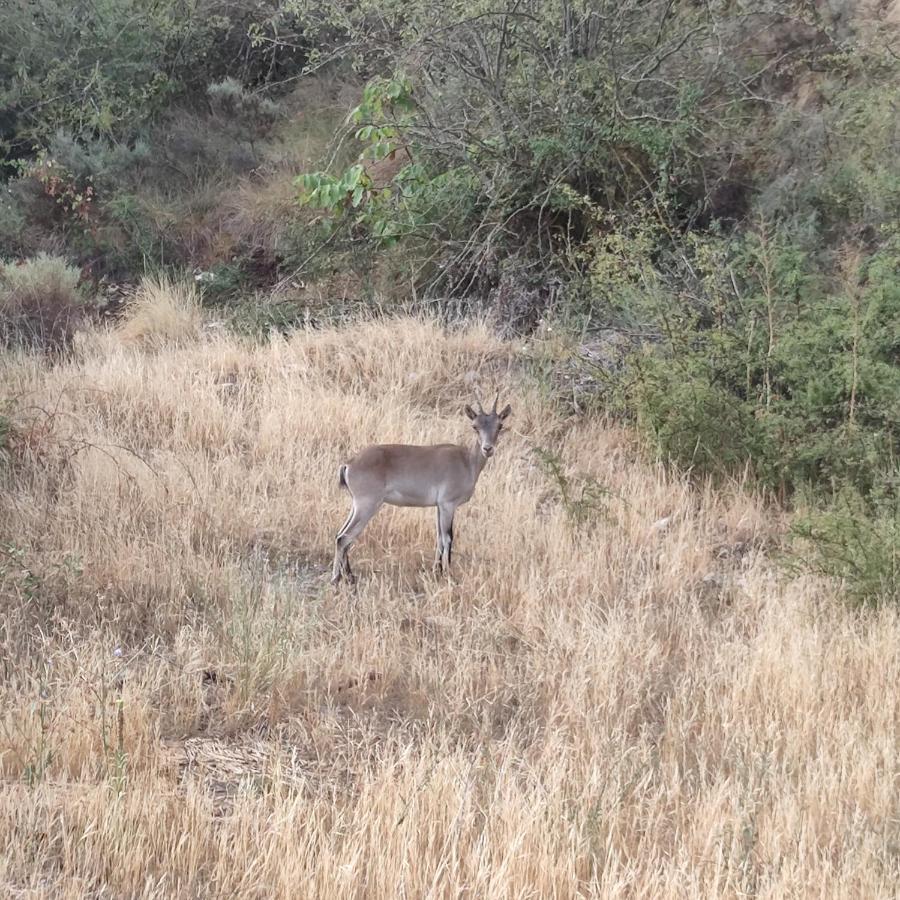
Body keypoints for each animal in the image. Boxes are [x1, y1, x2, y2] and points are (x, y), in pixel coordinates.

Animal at [332, 394, 512, 584]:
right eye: (475, 426)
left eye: (499, 425)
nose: (488, 449)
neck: (467, 462)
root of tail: (349, 463)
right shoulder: (448, 504)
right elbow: (448, 538)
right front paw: (448, 575)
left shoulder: (439, 507)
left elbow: (439, 537)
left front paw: (436, 571)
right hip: (367, 505)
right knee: (344, 537)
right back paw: (336, 578)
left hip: (357, 505)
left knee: (342, 535)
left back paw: (349, 576)